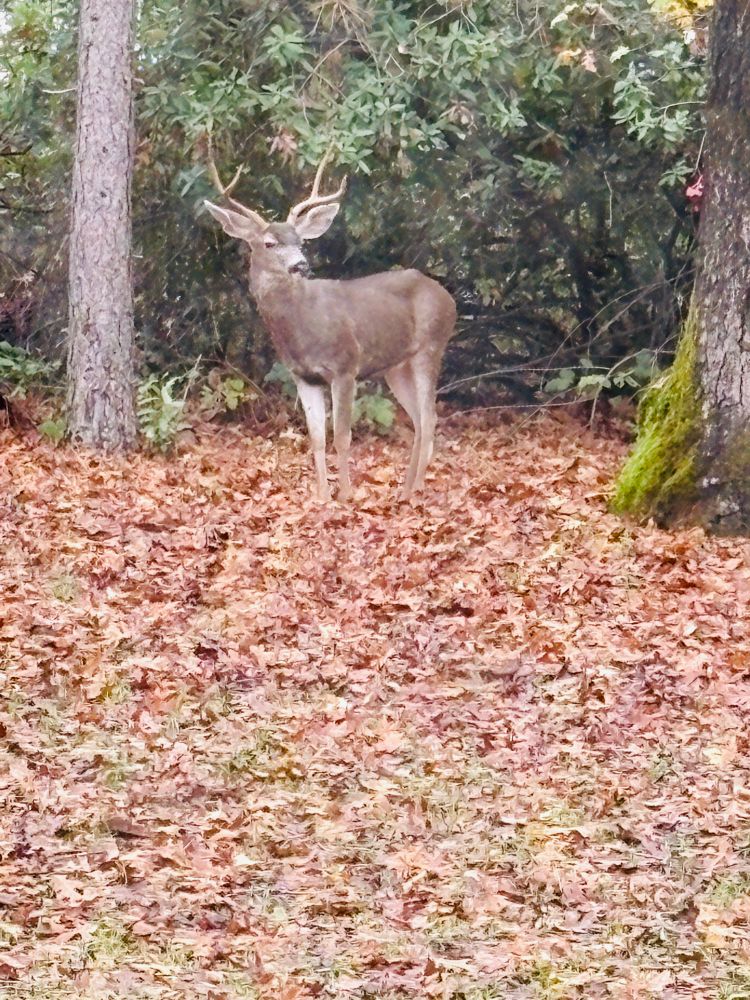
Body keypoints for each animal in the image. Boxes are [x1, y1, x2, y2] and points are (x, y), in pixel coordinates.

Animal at [203, 150, 456, 502]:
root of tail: (448, 297)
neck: (301, 325)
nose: (301, 265)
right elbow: (317, 438)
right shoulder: (303, 376)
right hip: (396, 367)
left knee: (430, 417)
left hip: (431, 346)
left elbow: (342, 436)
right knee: (420, 419)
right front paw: (322, 495)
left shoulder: (345, 366)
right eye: (269, 243)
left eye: (300, 241)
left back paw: (413, 489)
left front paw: (347, 494)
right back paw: (408, 487)